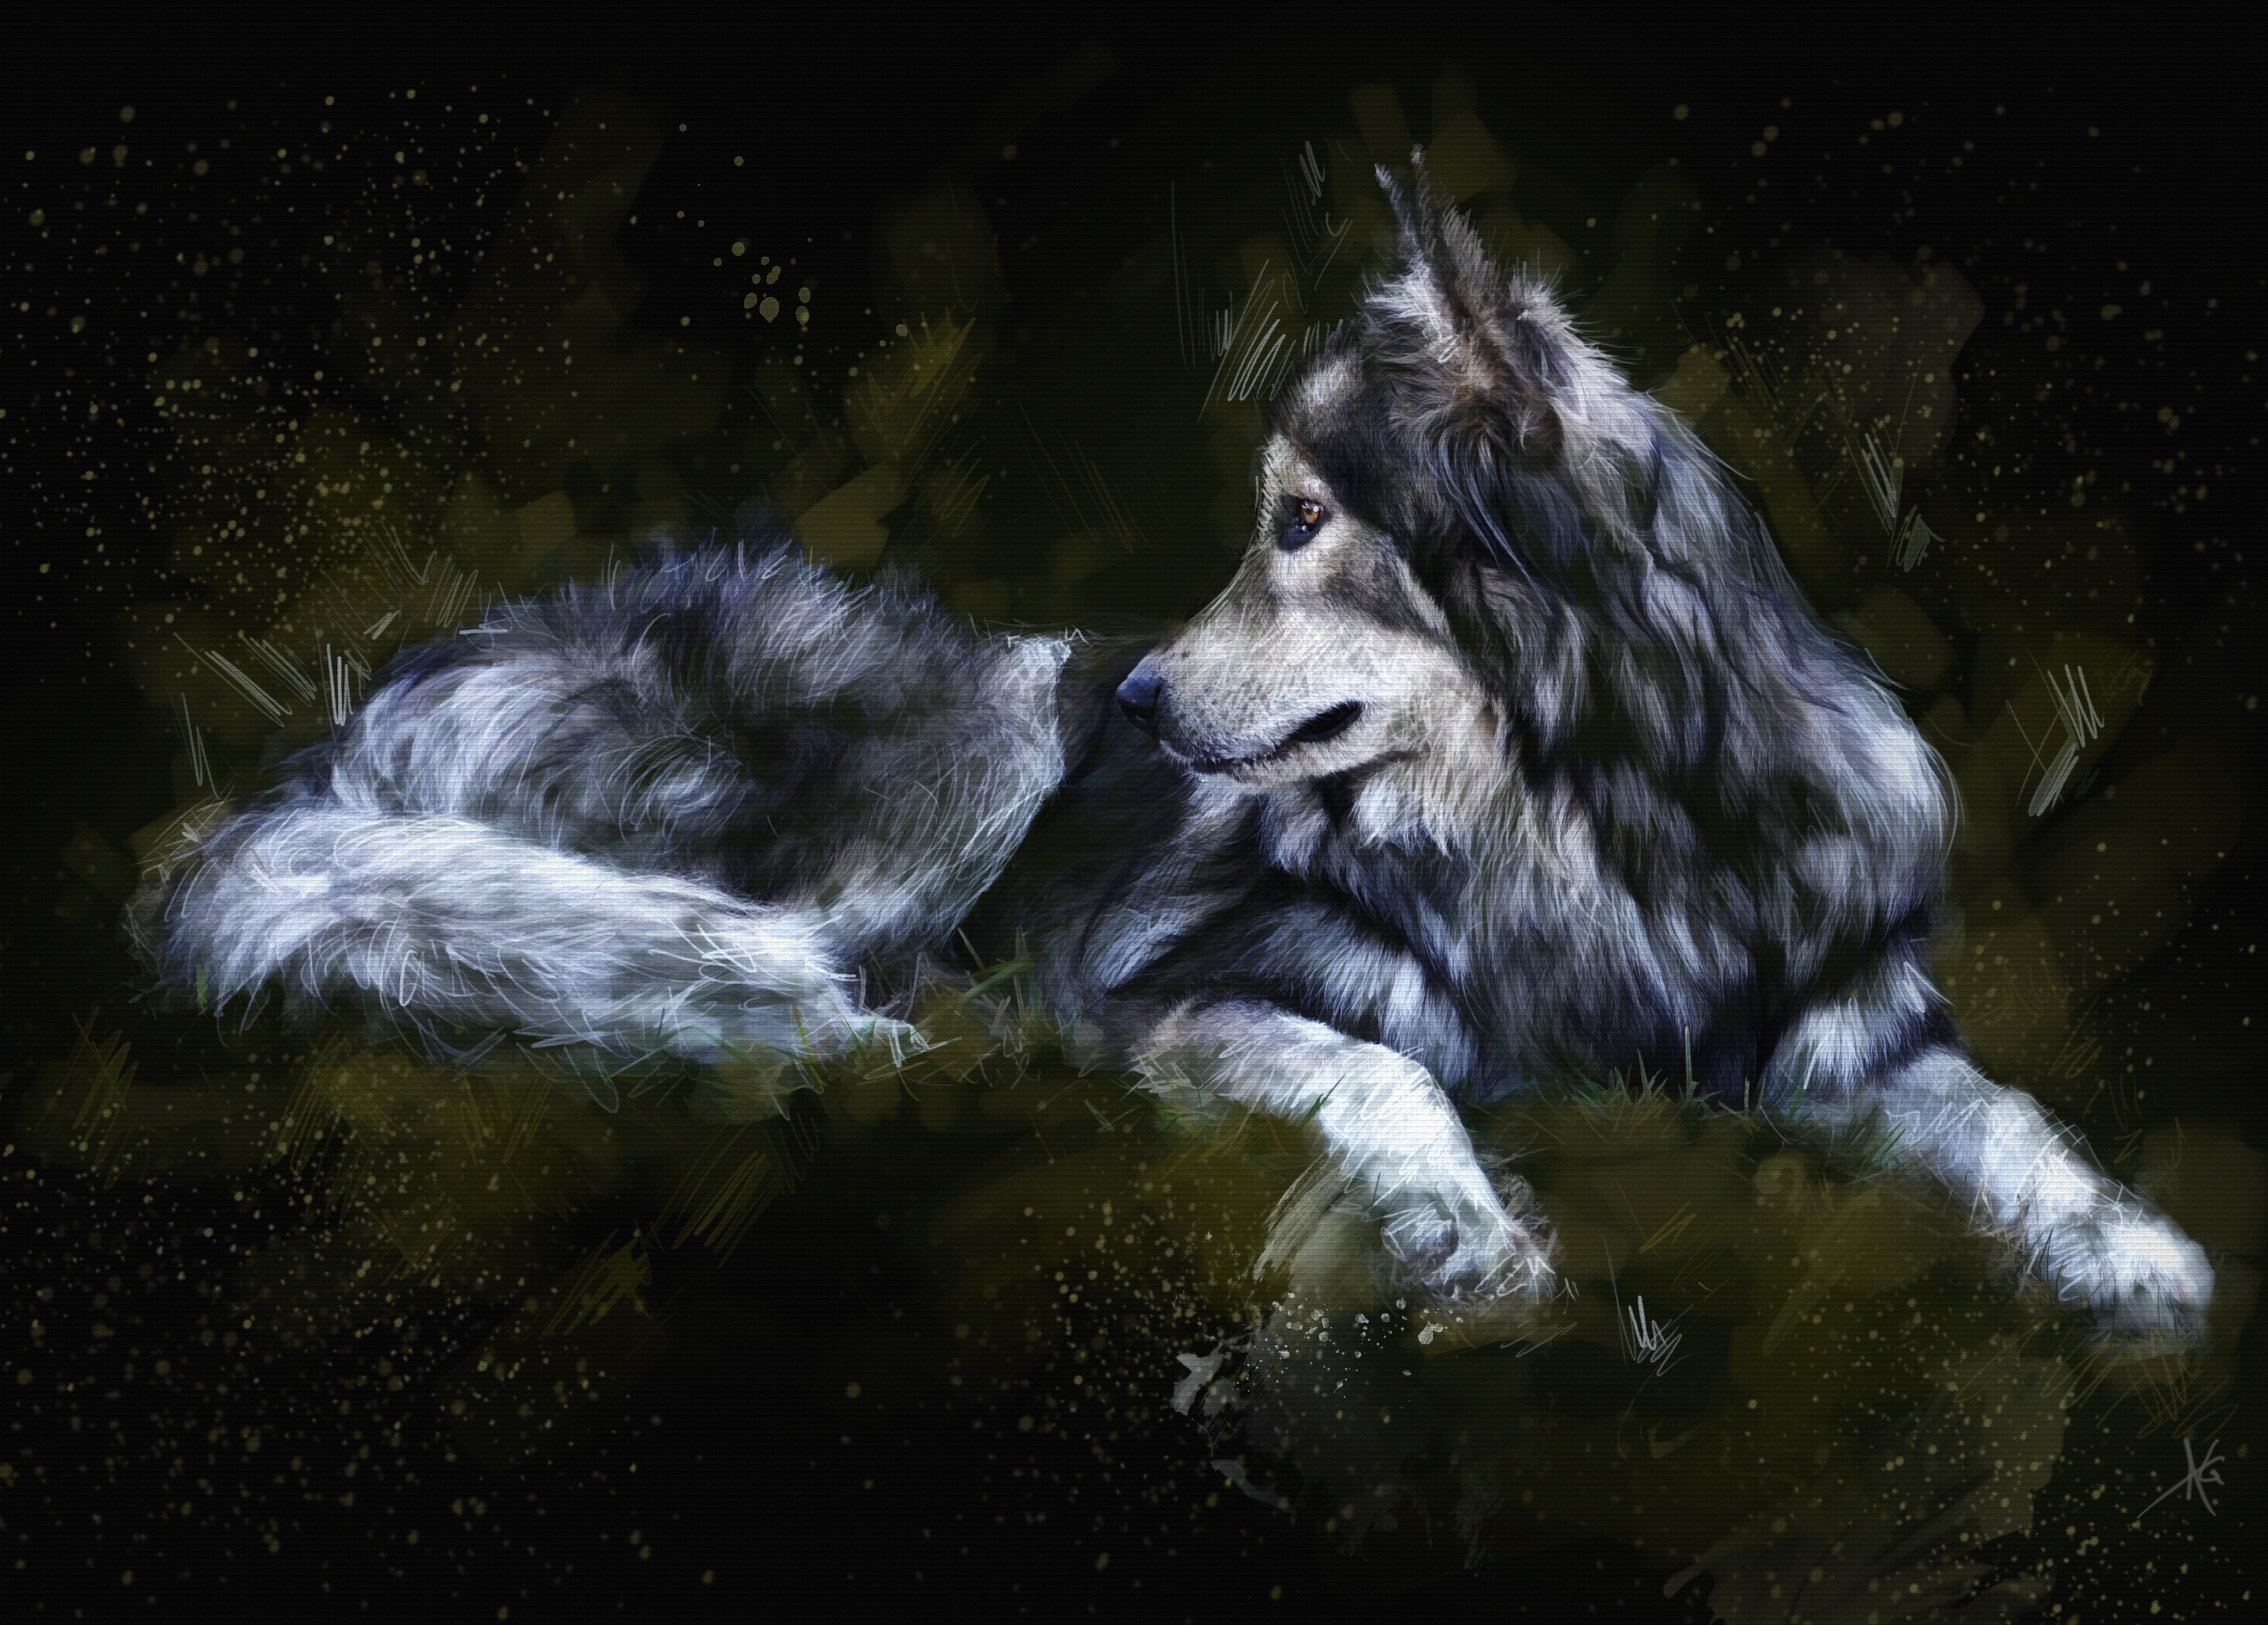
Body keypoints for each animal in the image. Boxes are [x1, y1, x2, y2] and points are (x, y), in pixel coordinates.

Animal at [132, 158, 2213, 1344]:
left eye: (1295, 520)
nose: (1132, 707)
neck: (1576, 826)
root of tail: (387, 702)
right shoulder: (1154, 1000)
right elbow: (1388, 1073)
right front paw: (1468, 1232)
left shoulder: (1834, 1028)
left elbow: (2012, 1125)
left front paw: (2133, 1252)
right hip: (966, 745)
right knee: (691, 962)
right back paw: (835, 1036)